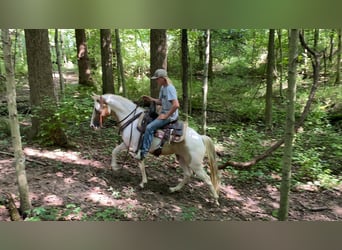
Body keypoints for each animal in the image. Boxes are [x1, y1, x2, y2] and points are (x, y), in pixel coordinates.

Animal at [89, 93, 220, 204]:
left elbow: (140, 163)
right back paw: (173, 189)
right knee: (187, 174)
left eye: (96, 109)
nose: (92, 126)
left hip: (195, 163)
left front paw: (143, 183)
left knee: (207, 179)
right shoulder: (127, 143)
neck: (132, 120)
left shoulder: (135, 147)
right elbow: (114, 151)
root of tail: (200, 137)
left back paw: (215, 200)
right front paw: (115, 167)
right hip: (181, 158)